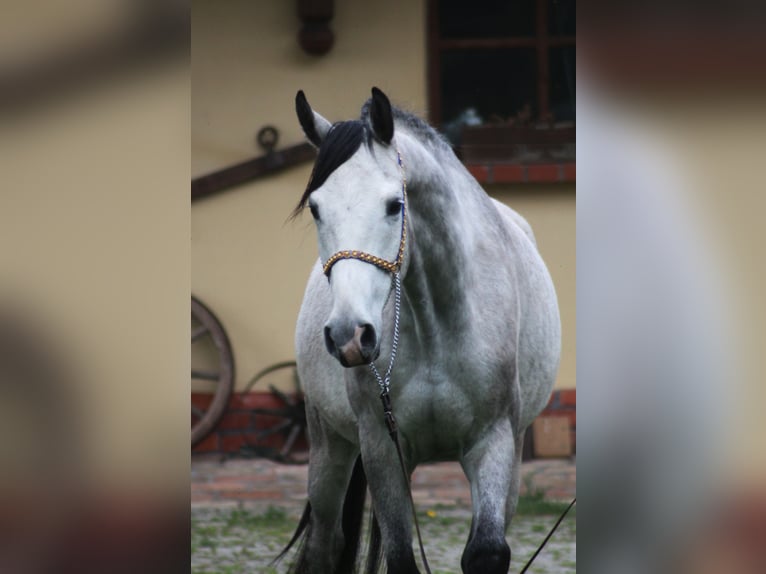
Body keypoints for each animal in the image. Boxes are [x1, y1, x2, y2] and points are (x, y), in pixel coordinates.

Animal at [280, 88, 560, 572]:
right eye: (315, 208)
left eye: (395, 204)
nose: (349, 335)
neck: (436, 326)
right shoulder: (381, 447)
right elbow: (399, 556)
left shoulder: (493, 443)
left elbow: (485, 551)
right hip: (329, 446)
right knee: (323, 544)